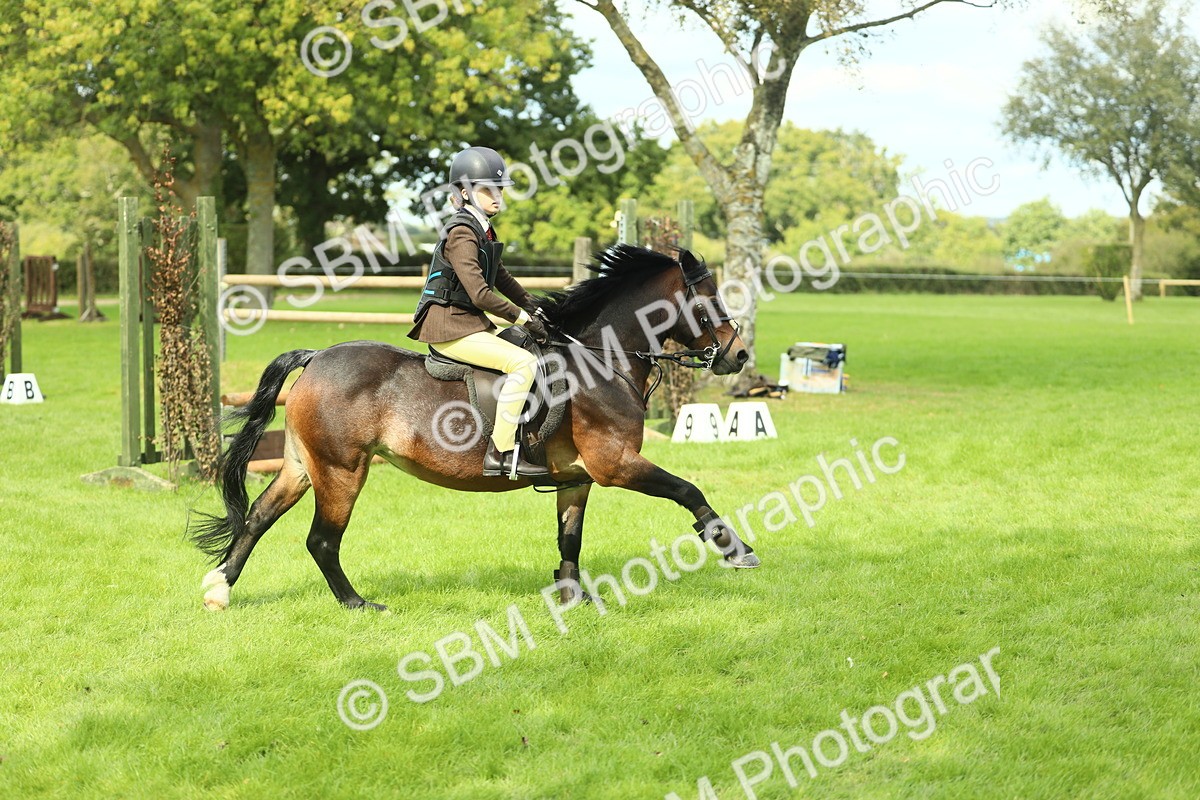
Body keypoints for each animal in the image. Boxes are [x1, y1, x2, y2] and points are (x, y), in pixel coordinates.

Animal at [190, 245, 760, 612]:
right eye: (708, 302)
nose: (738, 355)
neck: (602, 361)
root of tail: (317, 357)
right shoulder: (615, 464)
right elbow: (688, 489)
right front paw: (734, 548)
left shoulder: (577, 478)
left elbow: (570, 540)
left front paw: (572, 598)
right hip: (342, 470)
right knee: (322, 541)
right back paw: (357, 604)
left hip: (302, 465)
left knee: (258, 517)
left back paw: (219, 590)